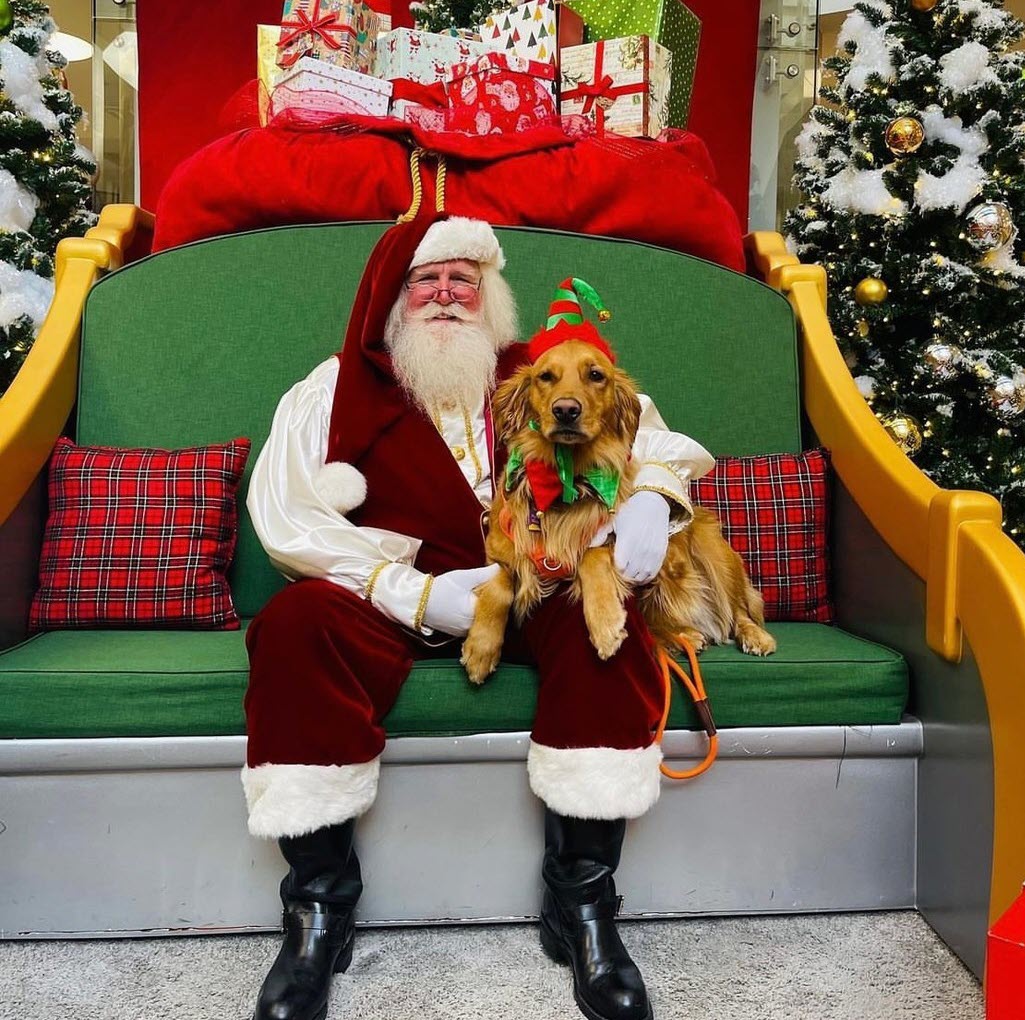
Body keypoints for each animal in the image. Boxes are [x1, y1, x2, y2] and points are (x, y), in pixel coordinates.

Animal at [459, 342, 774, 684]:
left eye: (596, 375)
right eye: (545, 376)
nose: (566, 410)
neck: (567, 481)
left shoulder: (611, 540)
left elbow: (590, 556)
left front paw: (605, 624)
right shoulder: (502, 548)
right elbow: (498, 583)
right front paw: (480, 647)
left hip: (714, 550)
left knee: (738, 610)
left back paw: (754, 636)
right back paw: (685, 635)